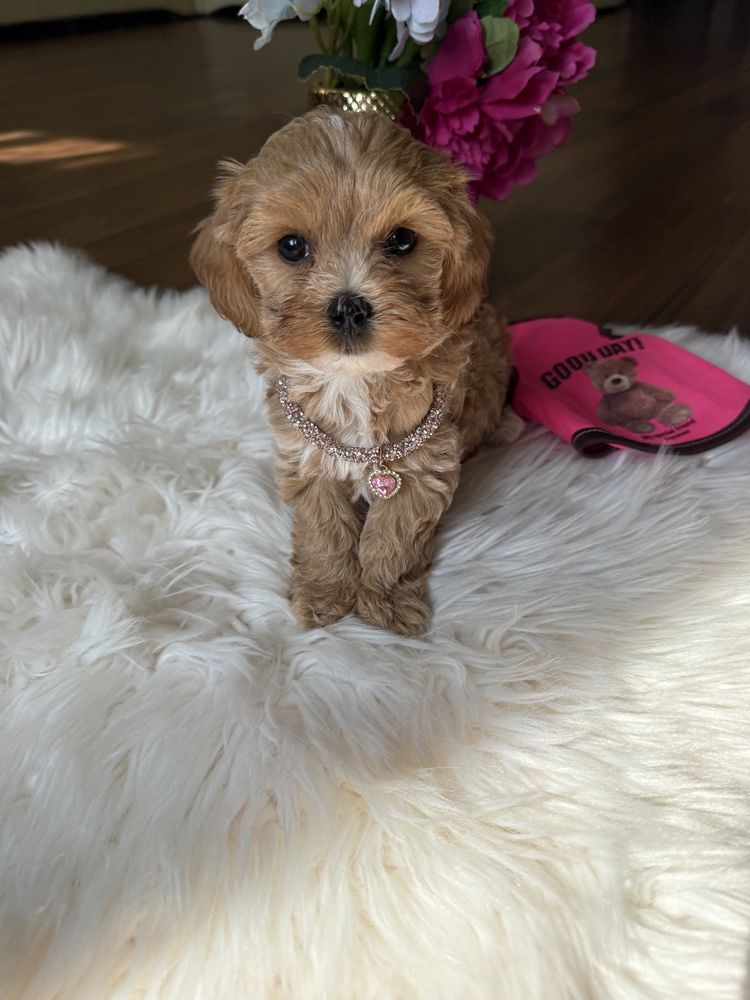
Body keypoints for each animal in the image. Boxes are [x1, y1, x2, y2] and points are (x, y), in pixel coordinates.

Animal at [191, 108, 516, 635]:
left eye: (402, 239)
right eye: (291, 246)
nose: (348, 307)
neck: (356, 381)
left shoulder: (425, 468)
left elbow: (394, 537)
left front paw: (385, 601)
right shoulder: (306, 460)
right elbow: (324, 530)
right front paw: (326, 593)